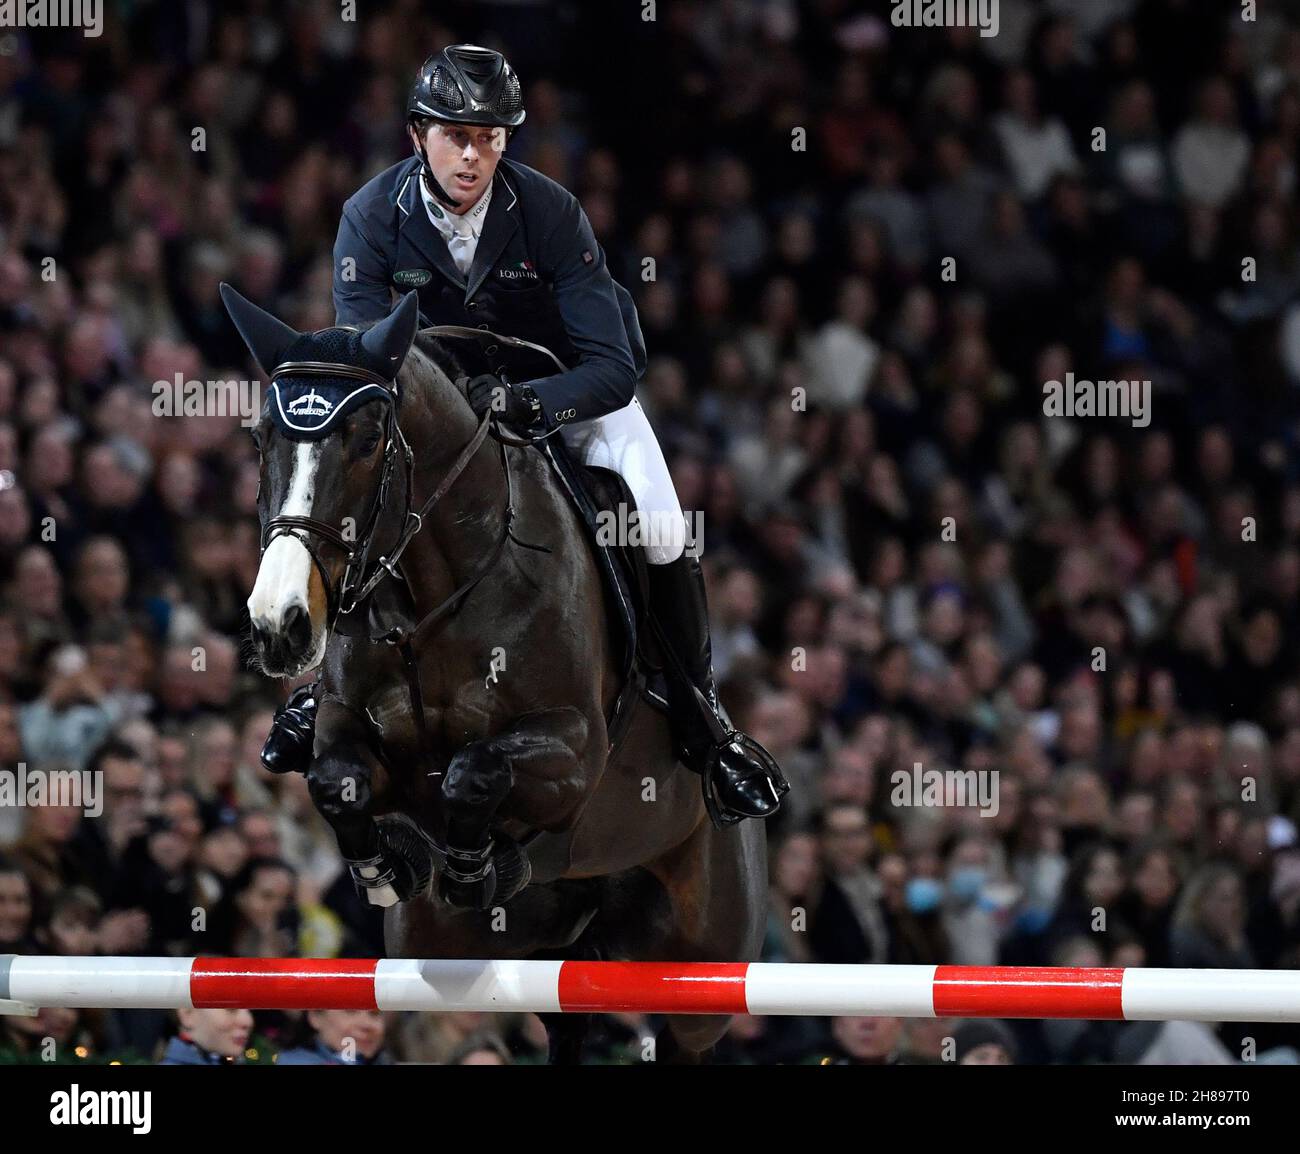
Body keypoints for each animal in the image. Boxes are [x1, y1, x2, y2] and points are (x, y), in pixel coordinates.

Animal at [222, 288, 764, 1065]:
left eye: (368, 440)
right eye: (261, 437)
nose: (280, 624)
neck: (431, 601)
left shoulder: (574, 750)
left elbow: (473, 771)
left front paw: (477, 865)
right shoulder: (348, 730)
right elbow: (335, 778)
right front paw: (392, 866)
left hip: (702, 961)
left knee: (690, 1029)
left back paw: (731, 766)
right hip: (486, 951)